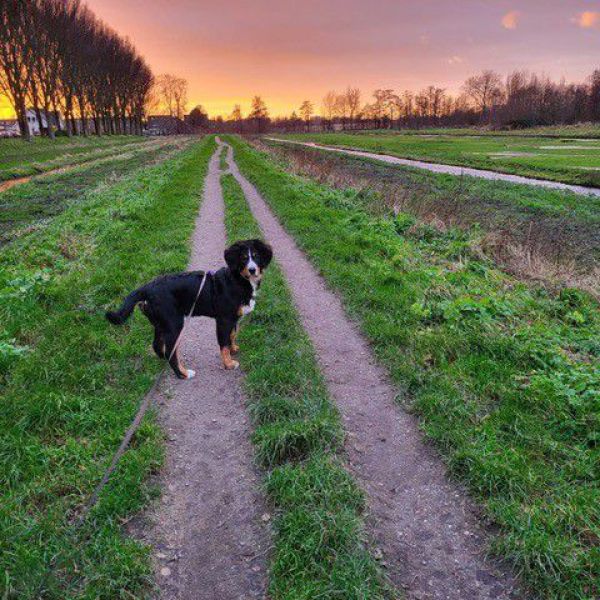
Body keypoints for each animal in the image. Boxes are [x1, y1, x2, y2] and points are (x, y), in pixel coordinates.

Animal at [105, 239, 272, 380]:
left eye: (256, 256)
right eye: (243, 258)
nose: (252, 270)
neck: (238, 280)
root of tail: (147, 288)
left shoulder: (233, 319)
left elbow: (232, 335)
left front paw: (233, 349)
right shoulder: (224, 320)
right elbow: (223, 343)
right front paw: (229, 363)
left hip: (160, 324)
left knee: (158, 346)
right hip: (174, 324)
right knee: (170, 352)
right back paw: (183, 374)